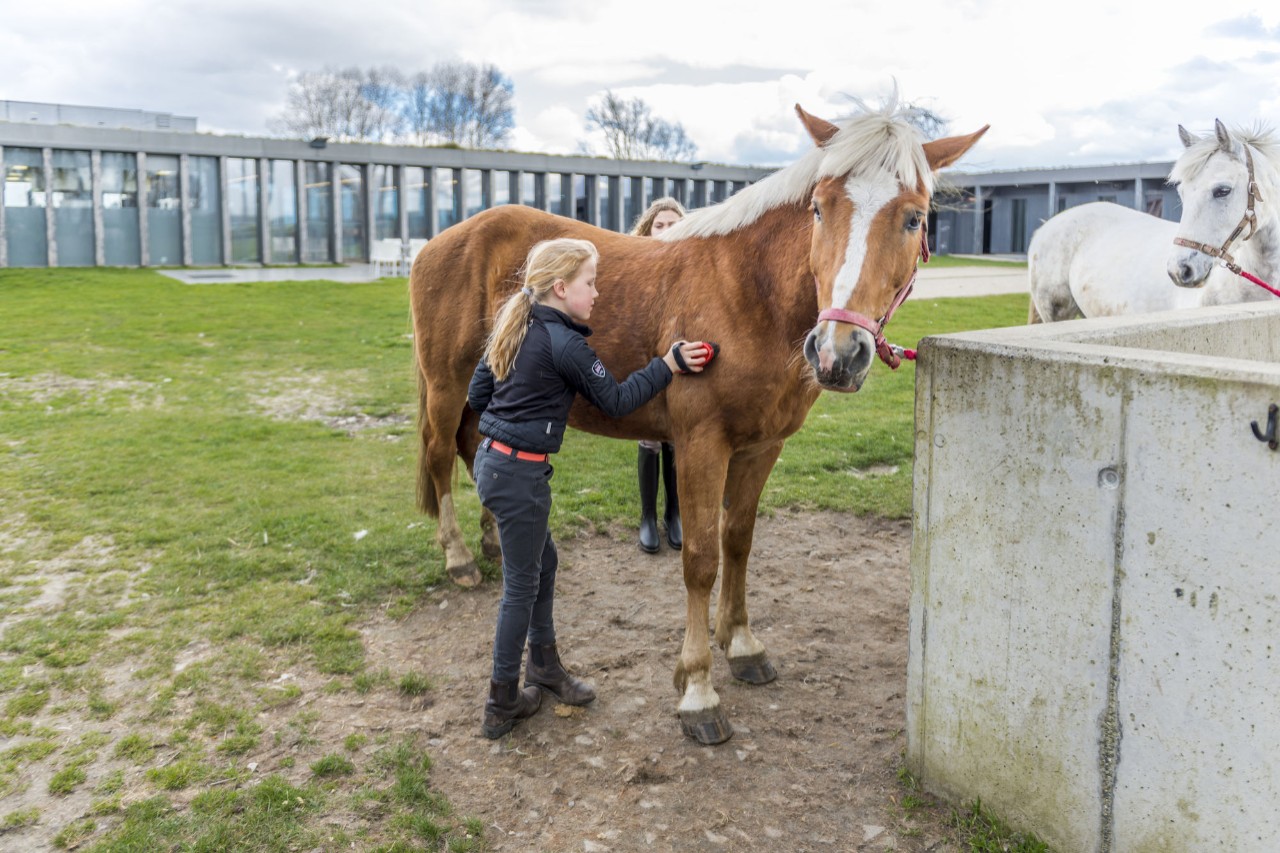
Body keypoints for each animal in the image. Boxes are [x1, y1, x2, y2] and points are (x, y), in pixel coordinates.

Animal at [412, 97, 988, 737]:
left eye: (914, 218)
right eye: (819, 207)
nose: (838, 354)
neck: (751, 293)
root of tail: (444, 239)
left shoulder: (762, 446)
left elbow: (738, 541)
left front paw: (741, 644)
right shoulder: (700, 445)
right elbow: (700, 560)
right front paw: (698, 689)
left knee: (470, 446)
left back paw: (492, 542)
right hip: (447, 385)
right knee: (440, 454)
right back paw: (460, 558)